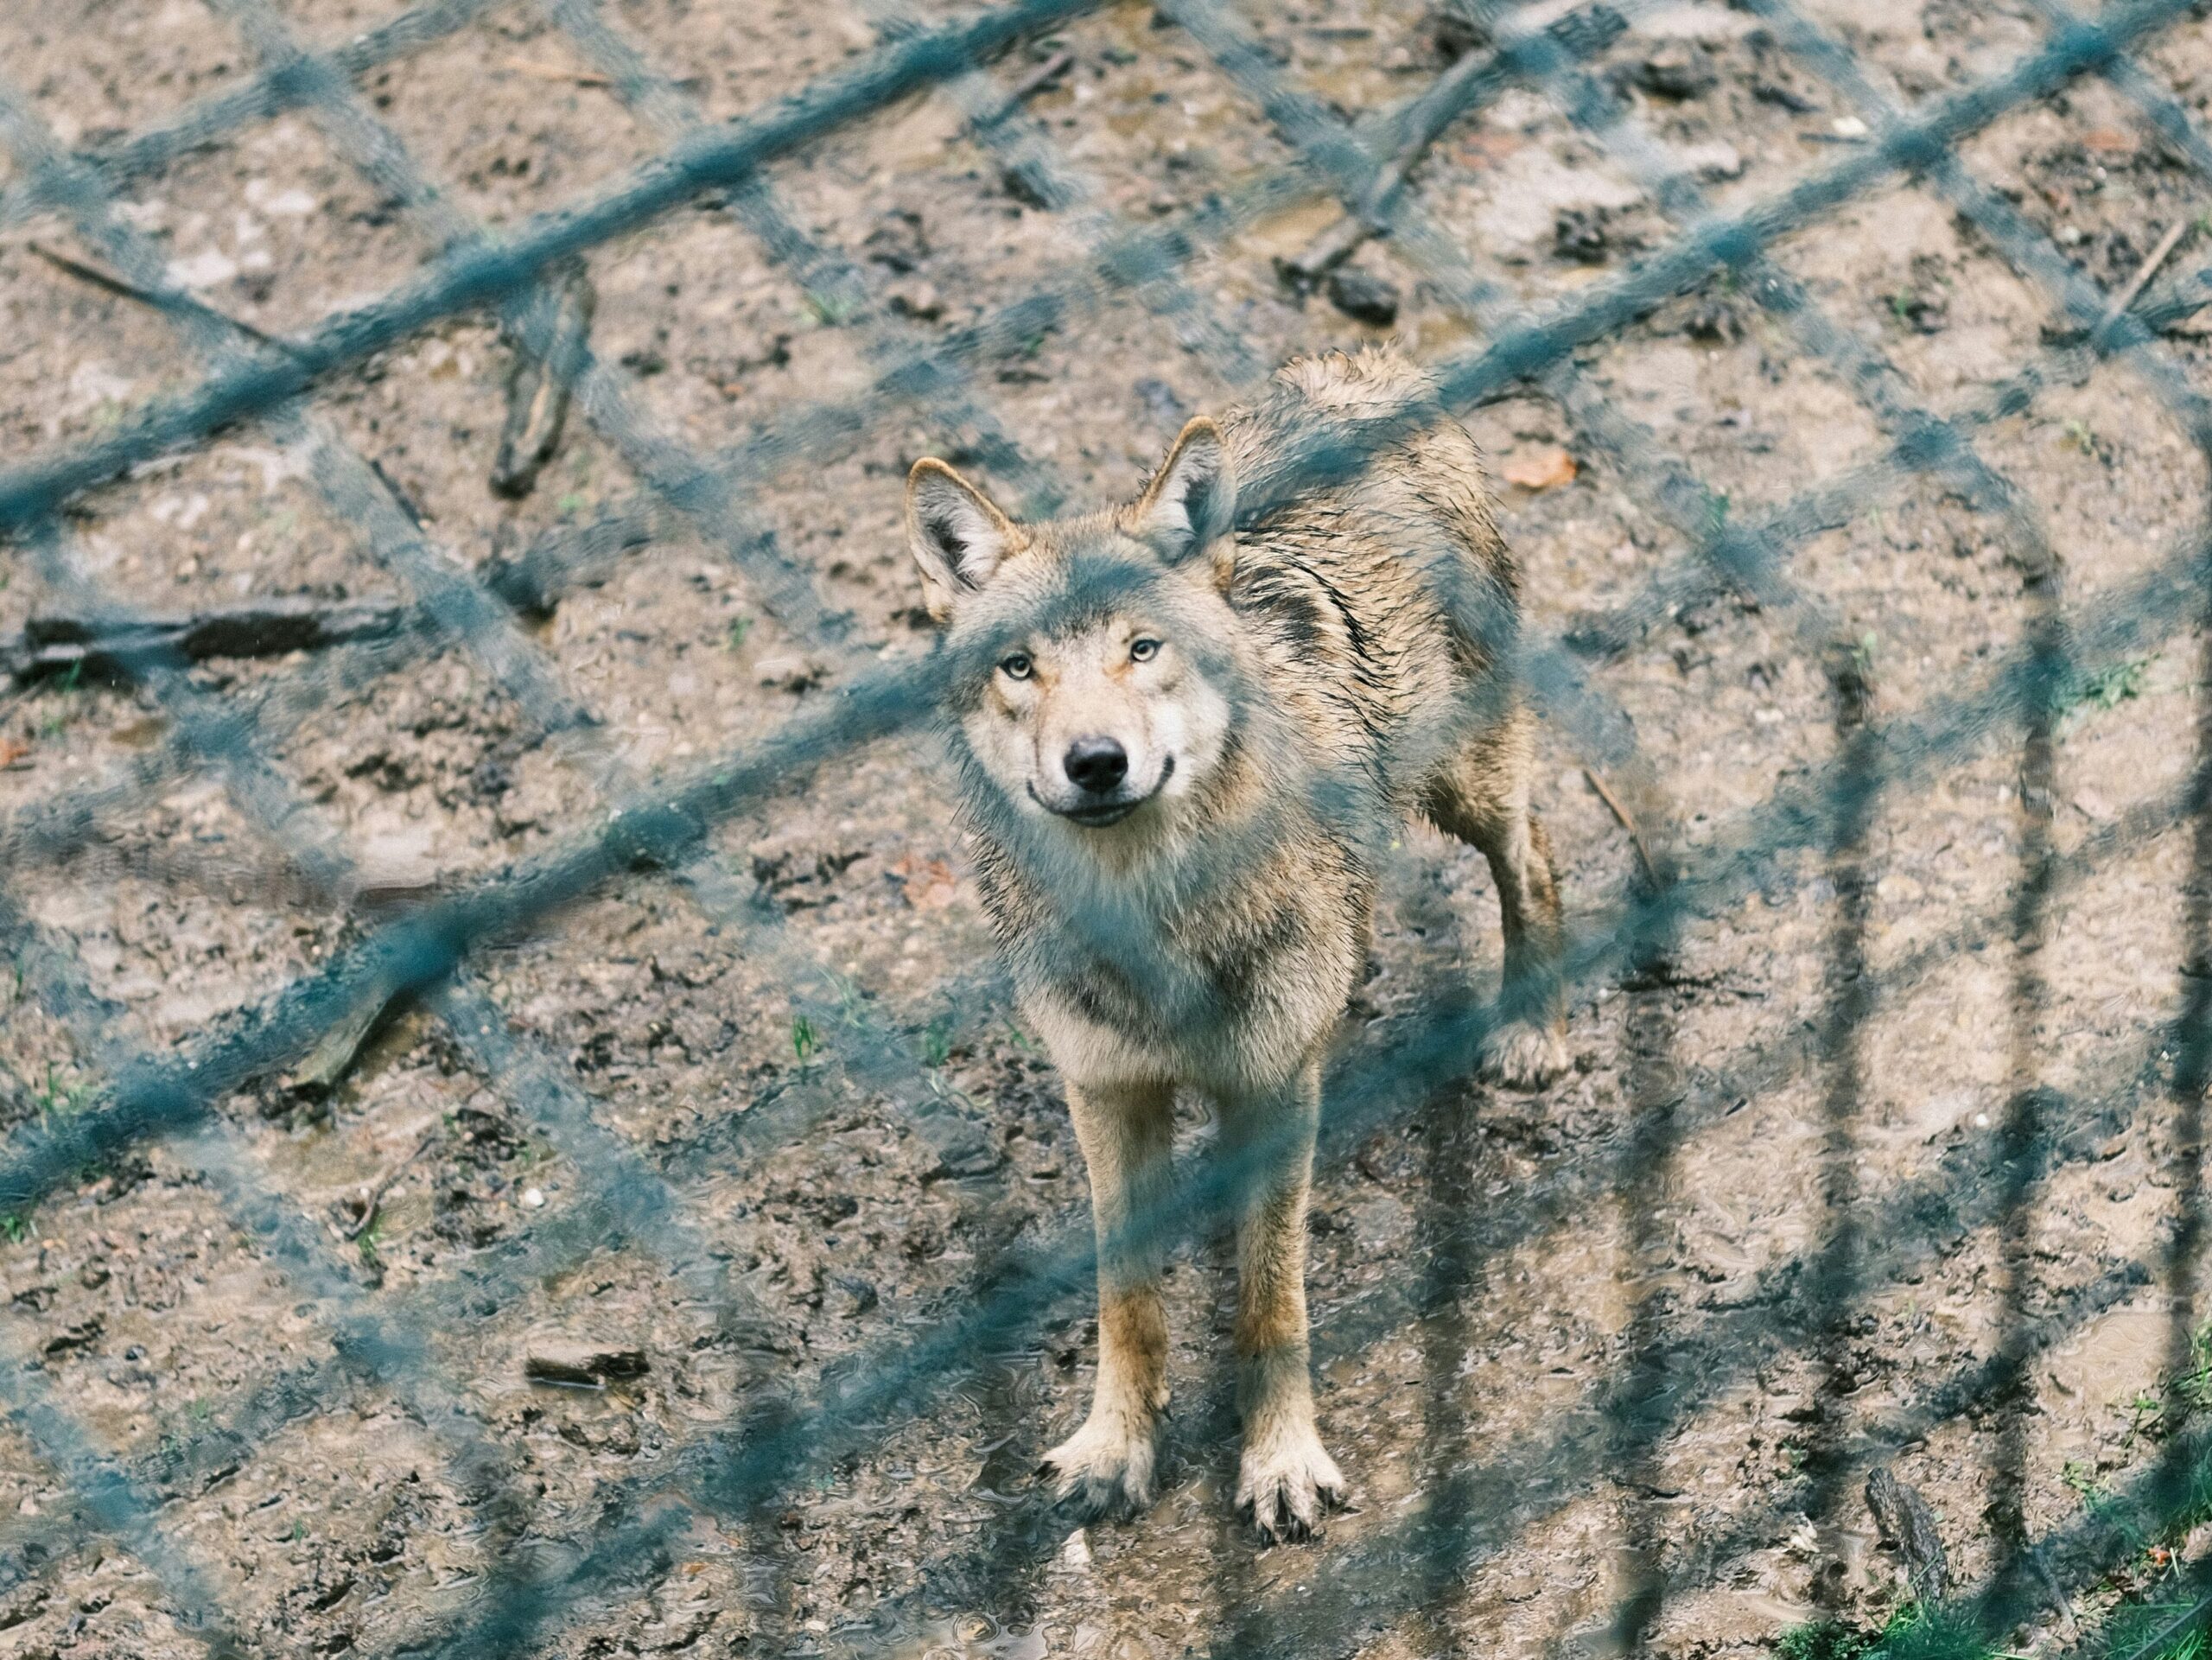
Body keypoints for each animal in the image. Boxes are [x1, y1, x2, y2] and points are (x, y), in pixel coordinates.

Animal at [902, 340, 1574, 1549]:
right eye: (1021, 667)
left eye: (1142, 649)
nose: (1095, 761)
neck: (1153, 917)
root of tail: (1362, 367)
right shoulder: (1104, 1089)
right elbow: (1126, 1298)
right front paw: (1114, 1449)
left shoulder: (1275, 1083)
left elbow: (1272, 1299)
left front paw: (1281, 1464)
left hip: (1470, 783)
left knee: (1533, 856)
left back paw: (1532, 1031)